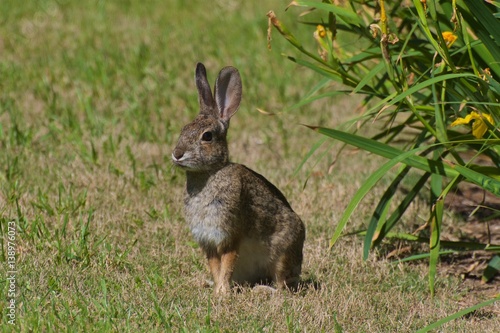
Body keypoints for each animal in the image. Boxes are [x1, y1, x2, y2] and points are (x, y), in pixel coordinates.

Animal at [172, 62, 304, 294]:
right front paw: (217, 290)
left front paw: (221, 294)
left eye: (207, 136)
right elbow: (215, 267)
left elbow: (227, 264)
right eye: (184, 129)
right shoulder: (208, 241)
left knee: (282, 286)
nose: (177, 154)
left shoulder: (229, 235)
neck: (209, 173)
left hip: (283, 253)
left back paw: (263, 290)